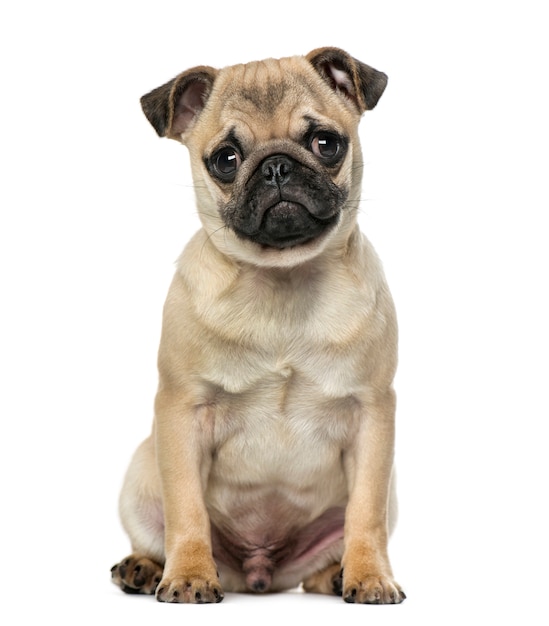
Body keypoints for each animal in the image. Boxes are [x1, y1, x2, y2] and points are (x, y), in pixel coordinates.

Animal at [110, 46, 402, 604]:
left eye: (326, 143)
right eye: (226, 159)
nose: (276, 167)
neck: (282, 280)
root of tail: (258, 573)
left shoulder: (373, 416)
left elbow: (366, 513)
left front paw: (370, 575)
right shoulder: (182, 412)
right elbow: (186, 509)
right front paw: (188, 575)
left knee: (325, 556)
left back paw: (336, 575)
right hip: (139, 477)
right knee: (157, 530)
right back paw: (145, 568)